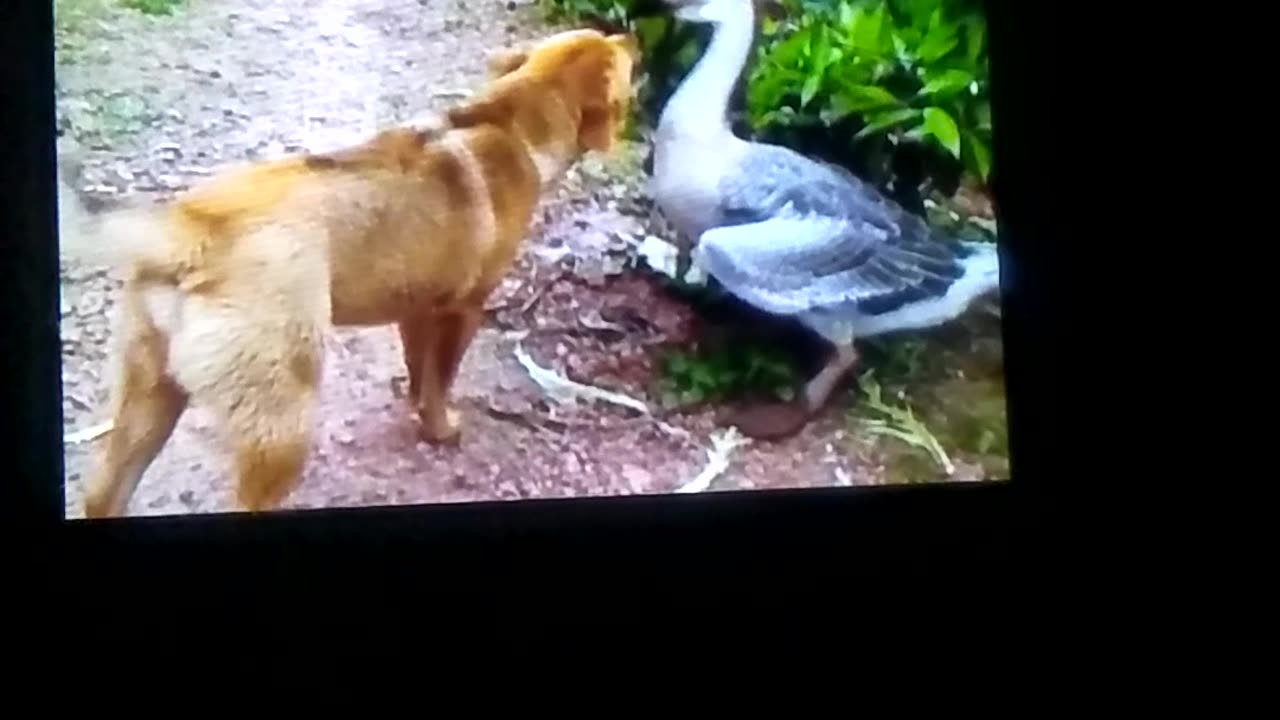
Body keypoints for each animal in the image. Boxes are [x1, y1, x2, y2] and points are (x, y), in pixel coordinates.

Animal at [60, 26, 640, 509]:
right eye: (619, 57)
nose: (628, 34)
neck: (510, 122)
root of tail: (195, 229)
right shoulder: (463, 310)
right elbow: (441, 381)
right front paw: (440, 428)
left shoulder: (416, 309)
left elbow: (419, 372)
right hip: (281, 426)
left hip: (147, 400)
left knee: (102, 493)